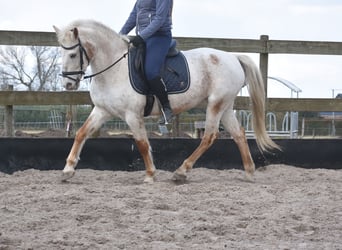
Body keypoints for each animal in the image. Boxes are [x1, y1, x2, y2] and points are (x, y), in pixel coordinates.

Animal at [52, 19, 278, 184]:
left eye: (72, 54)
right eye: (61, 52)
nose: (68, 84)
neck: (114, 69)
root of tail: (233, 57)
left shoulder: (132, 115)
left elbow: (142, 144)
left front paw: (150, 175)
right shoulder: (102, 110)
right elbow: (81, 134)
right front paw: (68, 170)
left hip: (216, 104)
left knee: (209, 136)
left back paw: (182, 171)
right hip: (226, 106)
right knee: (238, 134)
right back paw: (249, 172)